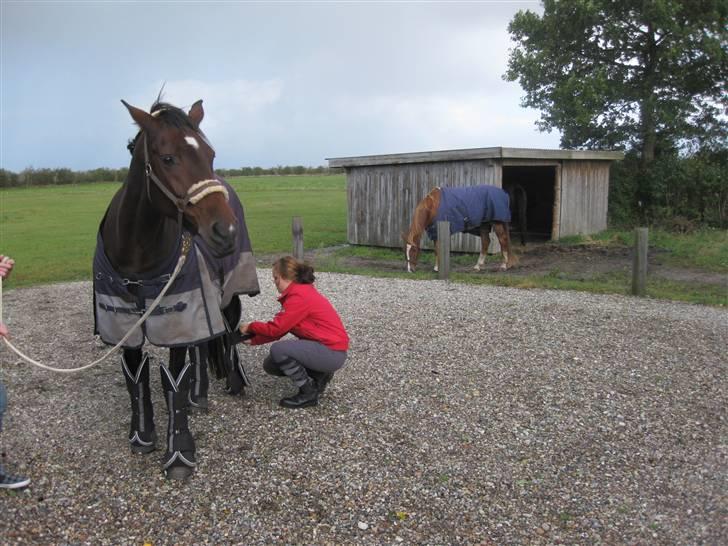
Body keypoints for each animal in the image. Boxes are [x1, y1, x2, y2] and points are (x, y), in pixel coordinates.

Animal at [93, 98, 258, 476]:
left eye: (211, 154)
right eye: (168, 158)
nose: (224, 231)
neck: (137, 256)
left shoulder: (175, 316)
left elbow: (175, 381)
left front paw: (179, 452)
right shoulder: (124, 319)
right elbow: (135, 377)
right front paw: (141, 435)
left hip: (227, 292)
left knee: (228, 333)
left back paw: (234, 381)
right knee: (203, 344)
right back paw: (200, 394)